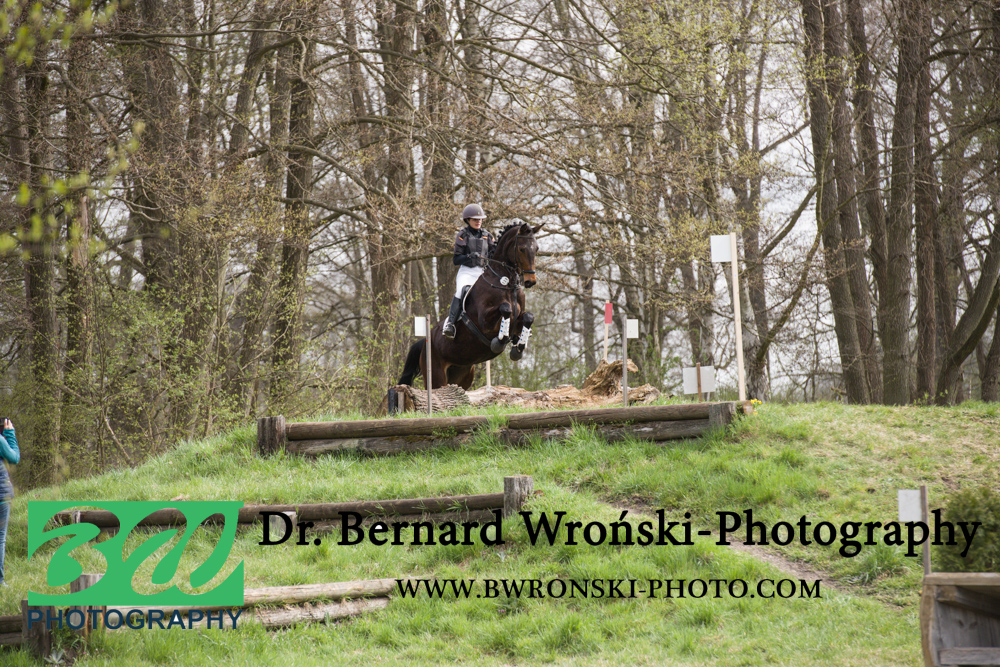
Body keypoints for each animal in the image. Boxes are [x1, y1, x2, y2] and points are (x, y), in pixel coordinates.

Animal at [398, 221, 543, 390]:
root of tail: (424, 343)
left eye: (536, 249)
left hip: (462, 374)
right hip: (436, 377)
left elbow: (528, 317)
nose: (530, 281)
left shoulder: (518, 321)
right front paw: (500, 341)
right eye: (522, 249)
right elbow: (505, 309)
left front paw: (518, 349)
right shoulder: (485, 322)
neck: (506, 284)